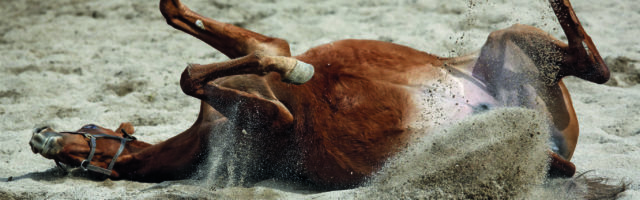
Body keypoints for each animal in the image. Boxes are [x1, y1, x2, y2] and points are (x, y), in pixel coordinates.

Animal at [30, 0, 608, 191]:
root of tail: (551, 149)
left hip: (508, 39)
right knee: (593, 67)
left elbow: (192, 40)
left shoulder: (265, 66)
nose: (40, 136)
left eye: (89, 130)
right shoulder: (279, 118)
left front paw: (293, 66)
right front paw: (293, 68)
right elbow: (194, 70)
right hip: (504, 57)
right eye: (70, 163)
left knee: (595, 66)